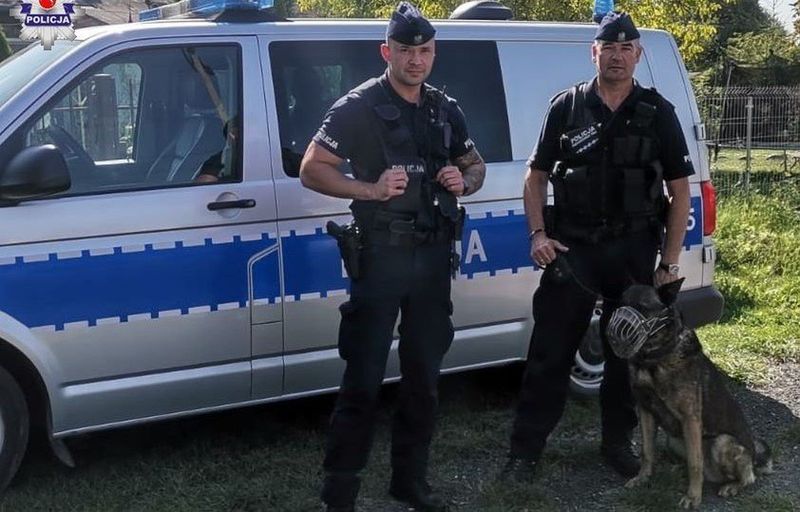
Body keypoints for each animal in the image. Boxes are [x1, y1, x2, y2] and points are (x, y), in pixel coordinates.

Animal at [608, 280, 772, 508]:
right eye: (620, 304)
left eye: (642, 307)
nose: (615, 335)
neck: (654, 358)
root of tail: (754, 456)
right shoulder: (646, 412)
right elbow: (647, 452)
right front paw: (643, 478)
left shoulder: (690, 419)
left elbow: (695, 463)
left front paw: (693, 497)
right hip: (674, 440)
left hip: (722, 443)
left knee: (748, 477)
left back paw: (731, 486)